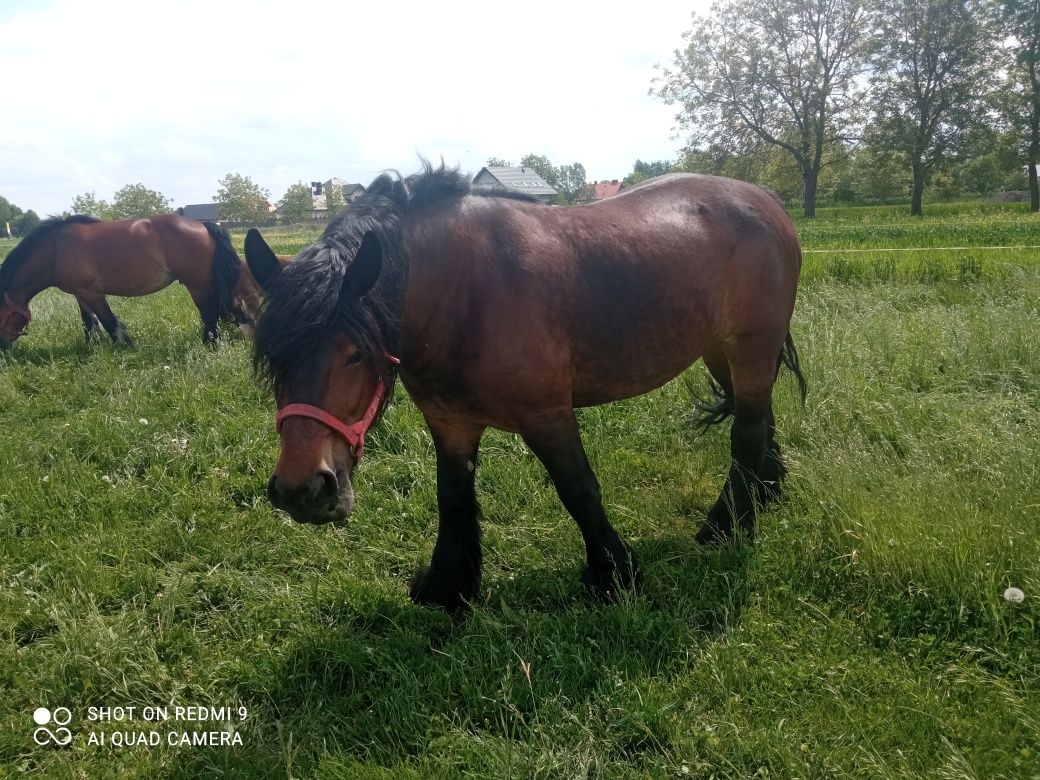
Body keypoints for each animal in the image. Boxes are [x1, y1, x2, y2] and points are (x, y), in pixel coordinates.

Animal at [0, 214, 264, 347]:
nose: (3, 347)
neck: (55, 248)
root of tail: (204, 225)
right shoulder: (79, 293)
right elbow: (89, 322)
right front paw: (93, 347)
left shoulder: (92, 293)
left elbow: (108, 321)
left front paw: (126, 346)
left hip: (196, 284)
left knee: (209, 314)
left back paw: (210, 344)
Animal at [243, 165, 802, 615]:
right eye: (273, 356)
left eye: (355, 353)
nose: (302, 491)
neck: (465, 293)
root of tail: (766, 200)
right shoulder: (450, 423)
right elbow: (453, 498)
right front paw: (449, 587)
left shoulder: (548, 416)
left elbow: (579, 490)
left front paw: (614, 577)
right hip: (722, 351)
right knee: (759, 419)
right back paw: (767, 494)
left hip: (752, 347)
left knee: (747, 434)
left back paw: (724, 528)